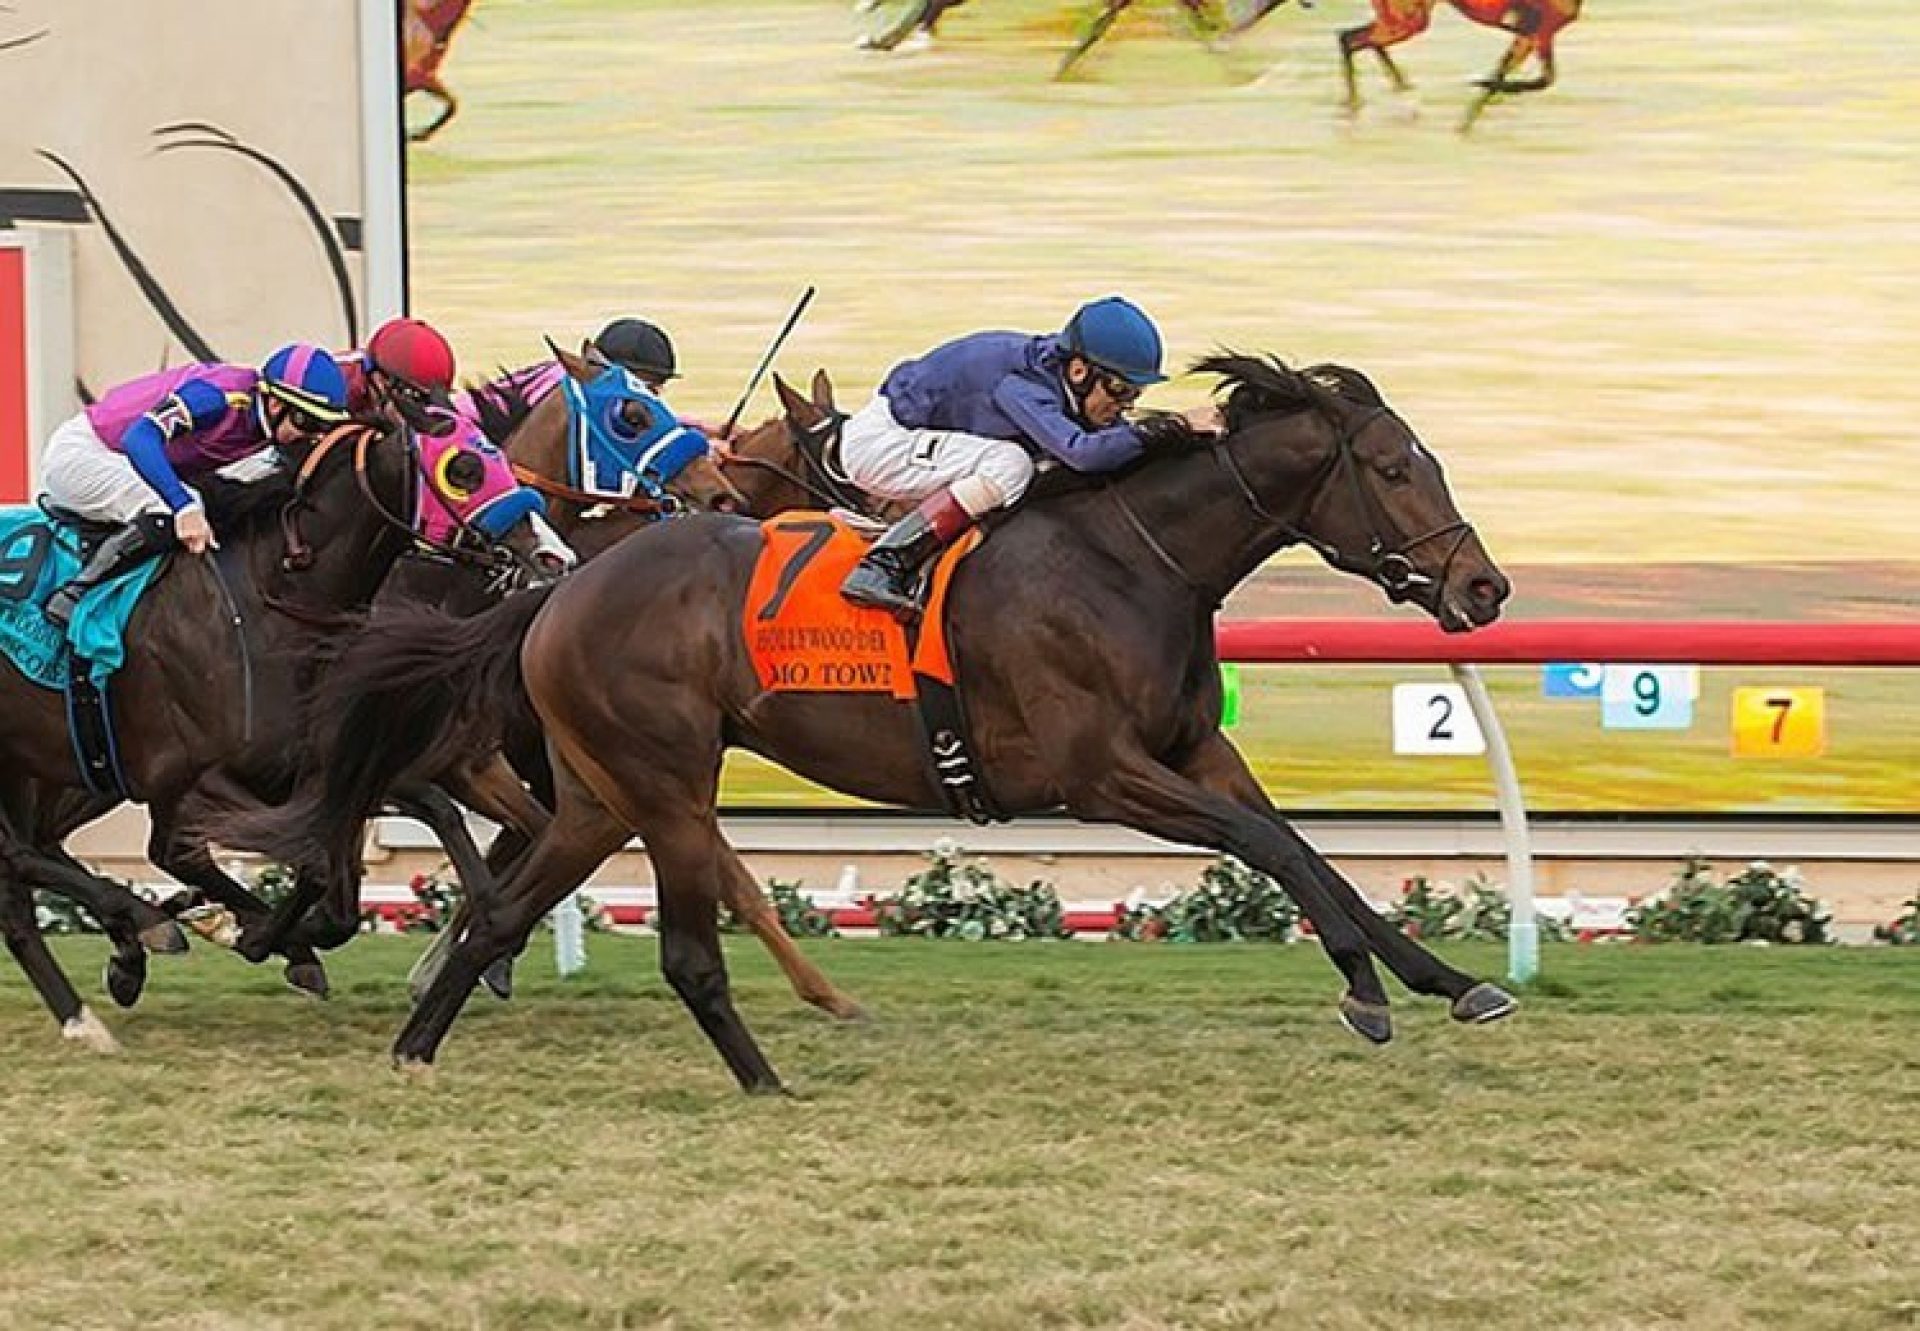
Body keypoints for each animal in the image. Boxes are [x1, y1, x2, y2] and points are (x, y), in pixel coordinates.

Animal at [224, 353, 1512, 1090]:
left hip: (598, 791)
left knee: (501, 908)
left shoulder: (1198, 749)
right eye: (1395, 466)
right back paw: (762, 1080)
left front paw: (1448, 981)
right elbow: (1271, 847)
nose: (1485, 588)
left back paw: (417, 1047)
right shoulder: (1102, 771)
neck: (1133, 558)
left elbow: (1308, 853)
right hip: (666, 780)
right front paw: (1368, 993)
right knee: (682, 944)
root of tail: (559, 587)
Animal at [1344, 0, 1582, 131]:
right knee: (1351, 39)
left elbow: (1529, 78)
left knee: (1359, 39)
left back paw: (1399, 93)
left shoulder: (1534, 36)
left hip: (1404, 21)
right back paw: (1358, 104)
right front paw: (1465, 123)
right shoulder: (1534, 34)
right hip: (1408, 21)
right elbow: (1528, 79)